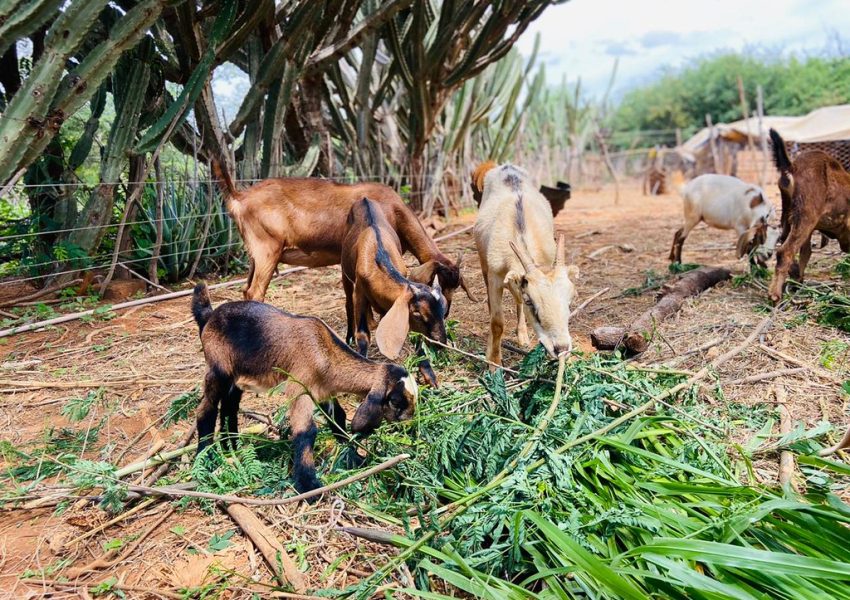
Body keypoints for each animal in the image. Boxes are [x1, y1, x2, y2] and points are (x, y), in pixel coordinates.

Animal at [191, 284, 418, 494]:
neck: (324, 350)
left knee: (229, 408)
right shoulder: (299, 387)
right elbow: (306, 431)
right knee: (205, 409)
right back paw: (206, 458)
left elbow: (339, 418)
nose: (409, 423)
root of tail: (209, 316)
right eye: (395, 401)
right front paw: (308, 486)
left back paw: (231, 448)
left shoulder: (323, 391)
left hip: (236, 379)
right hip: (218, 369)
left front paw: (354, 458)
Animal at [205, 159, 470, 310]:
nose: (446, 312)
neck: (394, 209)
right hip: (266, 251)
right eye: (439, 284)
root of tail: (240, 197)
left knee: (245, 290)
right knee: (254, 292)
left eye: (455, 287)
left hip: (254, 256)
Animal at [338, 199, 448, 390]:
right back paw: (349, 337)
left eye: (443, 310)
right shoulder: (359, 293)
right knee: (348, 305)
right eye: (417, 314)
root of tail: (364, 199)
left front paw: (429, 376)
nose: (440, 342)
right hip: (345, 274)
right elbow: (363, 335)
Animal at [764, 129, 848, 302]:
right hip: (806, 216)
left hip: (790, 215)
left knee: (786, 243)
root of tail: (792, 168)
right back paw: (775, 295)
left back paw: (796, 279)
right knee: (785, 251)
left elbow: (806, 251)